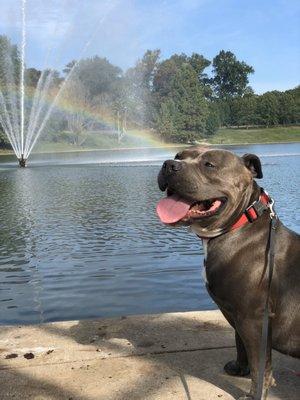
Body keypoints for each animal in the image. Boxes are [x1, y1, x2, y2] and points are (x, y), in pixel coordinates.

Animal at [156, 147, 298, 400]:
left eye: (209, 165)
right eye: (179, 156)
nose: (168, 164)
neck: (239, 224)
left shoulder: (253, 319)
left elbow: (261, 365)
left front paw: (254, 394)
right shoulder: (237, 314)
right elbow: (239, 343)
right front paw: (240, 368)